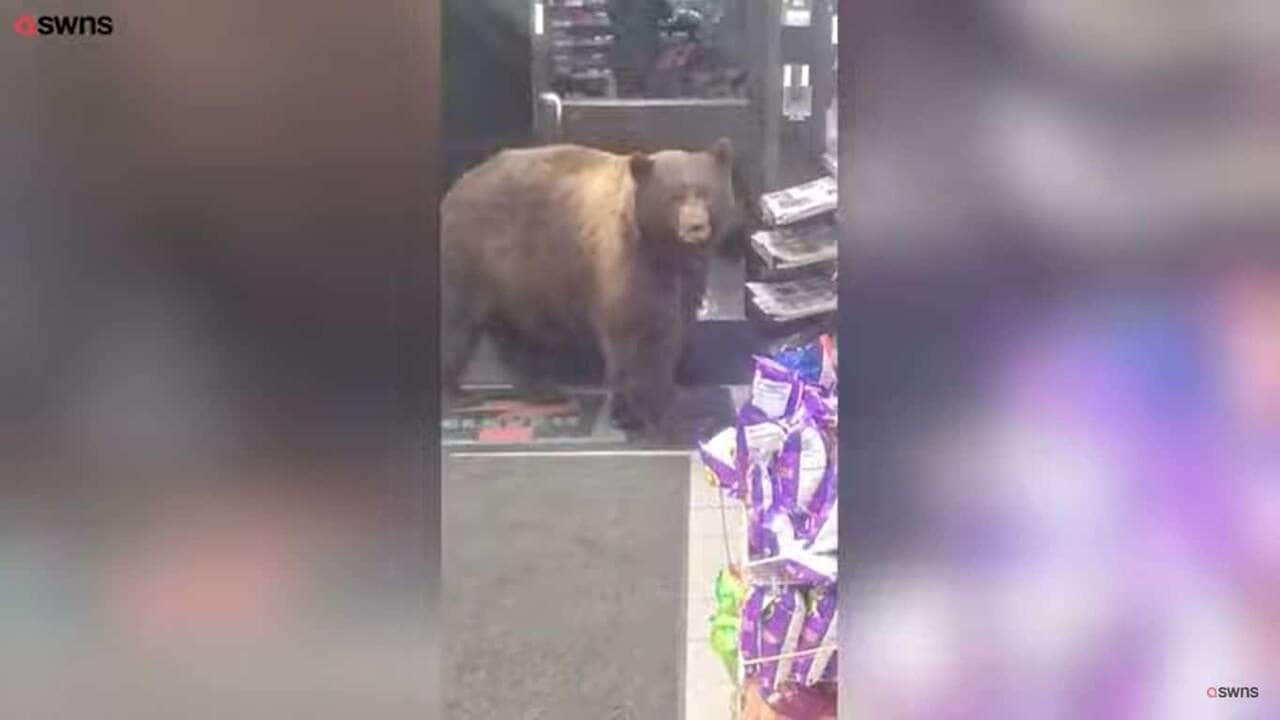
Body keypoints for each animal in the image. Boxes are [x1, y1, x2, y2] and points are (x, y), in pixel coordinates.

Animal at [440, 139, 738, 433]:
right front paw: (629, 413)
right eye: (674, 196)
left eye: (706, 192)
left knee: (516, 337)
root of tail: (459, 184)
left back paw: (542, 389)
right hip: (472, 257)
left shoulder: (684, 280)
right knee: (456, 324)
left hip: (514, 283)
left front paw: (662, 401)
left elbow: (669, 333)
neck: (663, 250)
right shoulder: (624, 265)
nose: (696, 226)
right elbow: (630, 335)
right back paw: (458, 393)